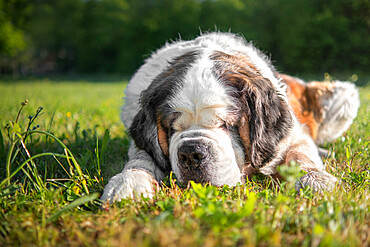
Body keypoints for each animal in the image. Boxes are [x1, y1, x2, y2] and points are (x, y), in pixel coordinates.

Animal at [99, 31, 360, 203]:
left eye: (227, 125)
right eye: (172, 129)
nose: (191, 152)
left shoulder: (292, 137)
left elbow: (301, 156)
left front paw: (317, 182)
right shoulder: (141, 142)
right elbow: (141, 157)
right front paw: (128, 183)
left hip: (343, 97)